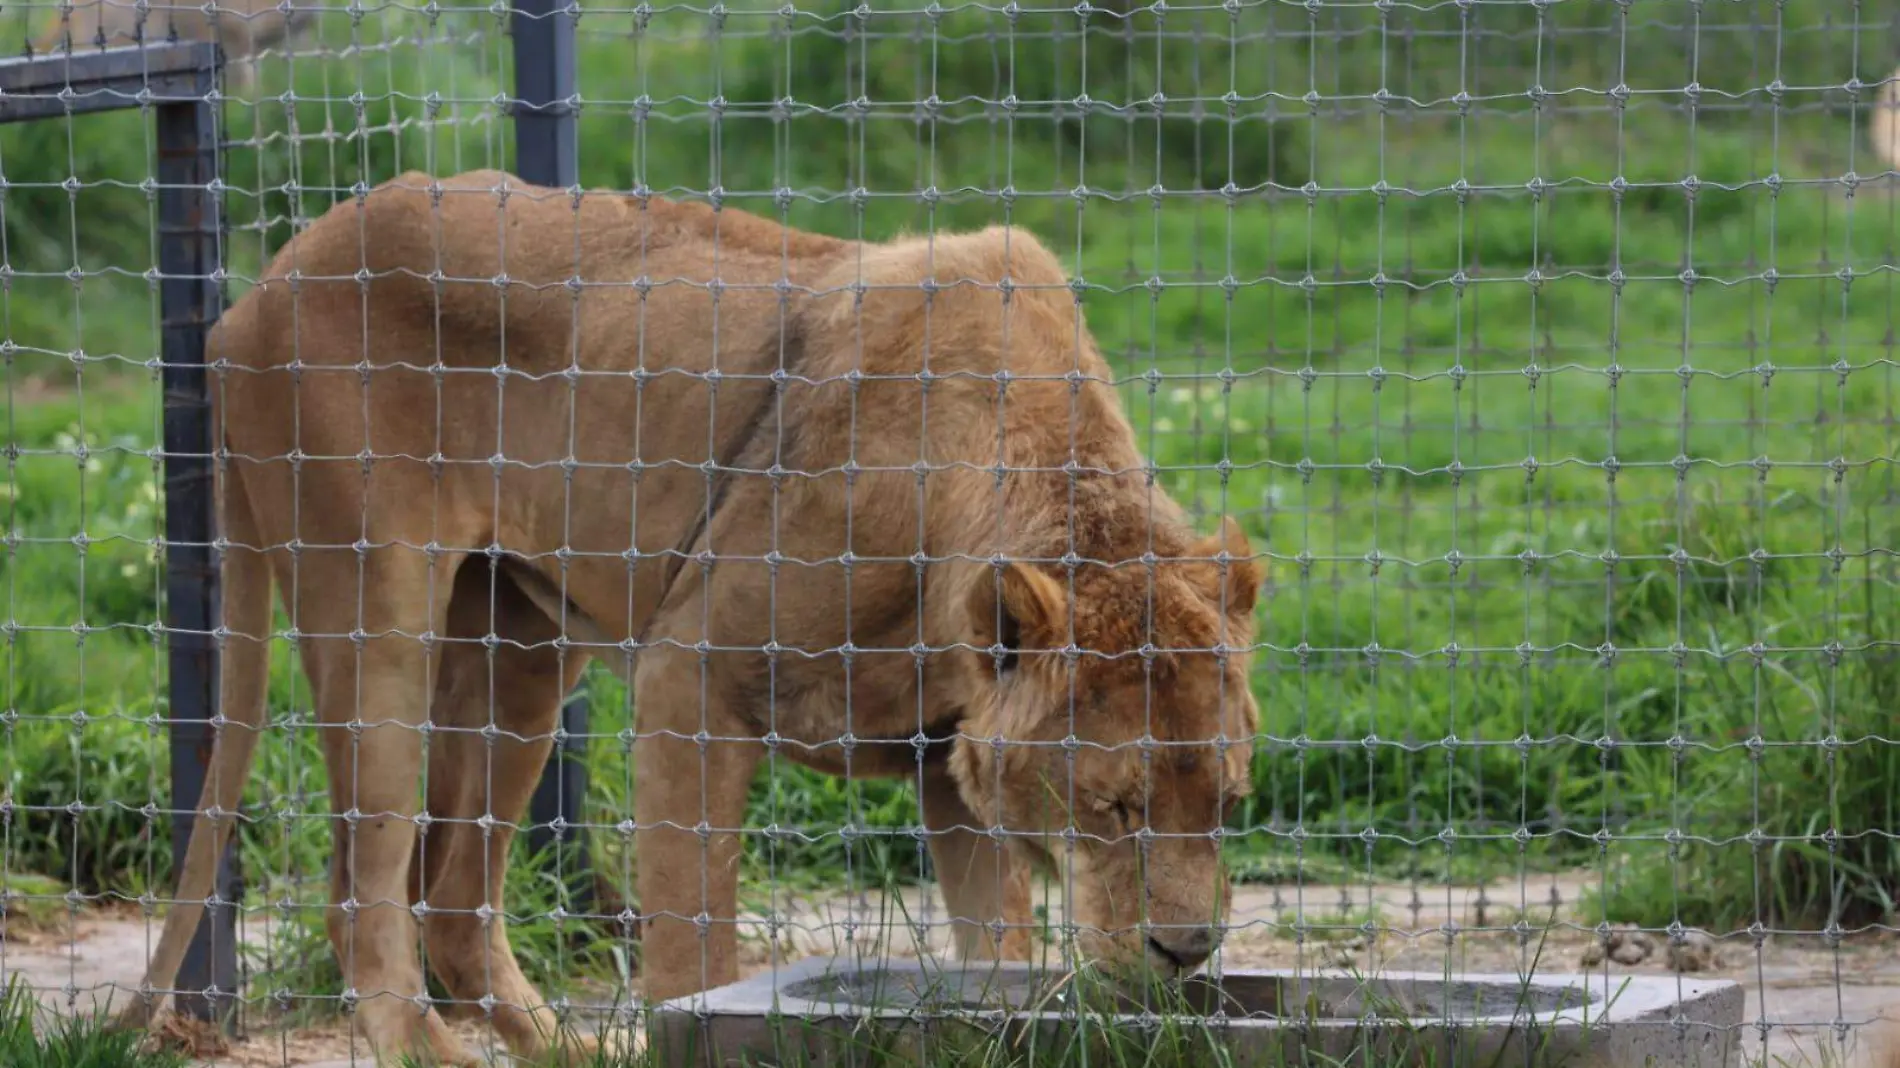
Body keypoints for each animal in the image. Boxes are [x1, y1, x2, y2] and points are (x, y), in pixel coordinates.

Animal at [118, 170, 1269, 1056]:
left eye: (1227, 803)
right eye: (1114, 807)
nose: (1185, 955)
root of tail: (255, 292)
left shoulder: (946, 762)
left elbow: (997, 953)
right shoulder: (688, 675)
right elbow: (692, 951)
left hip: (520, 647)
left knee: (448, 901)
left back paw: (567, 1052)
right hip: (377, 615)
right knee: (365, 899)